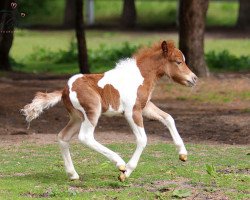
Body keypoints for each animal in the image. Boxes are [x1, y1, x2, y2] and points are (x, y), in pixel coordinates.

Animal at [22, 40, 197, 181]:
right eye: (178, 62)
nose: (194, 78)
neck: (139, 77)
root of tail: (65, 89)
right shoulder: (132, 112)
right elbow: (142, 139)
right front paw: (126, 172)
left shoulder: (145, 107)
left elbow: (168, 118)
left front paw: (183, 154)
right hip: (92, 112)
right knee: (85, 137)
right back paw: (120, 163)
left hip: (77, 118)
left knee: (63, 137)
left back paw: (73, 174)